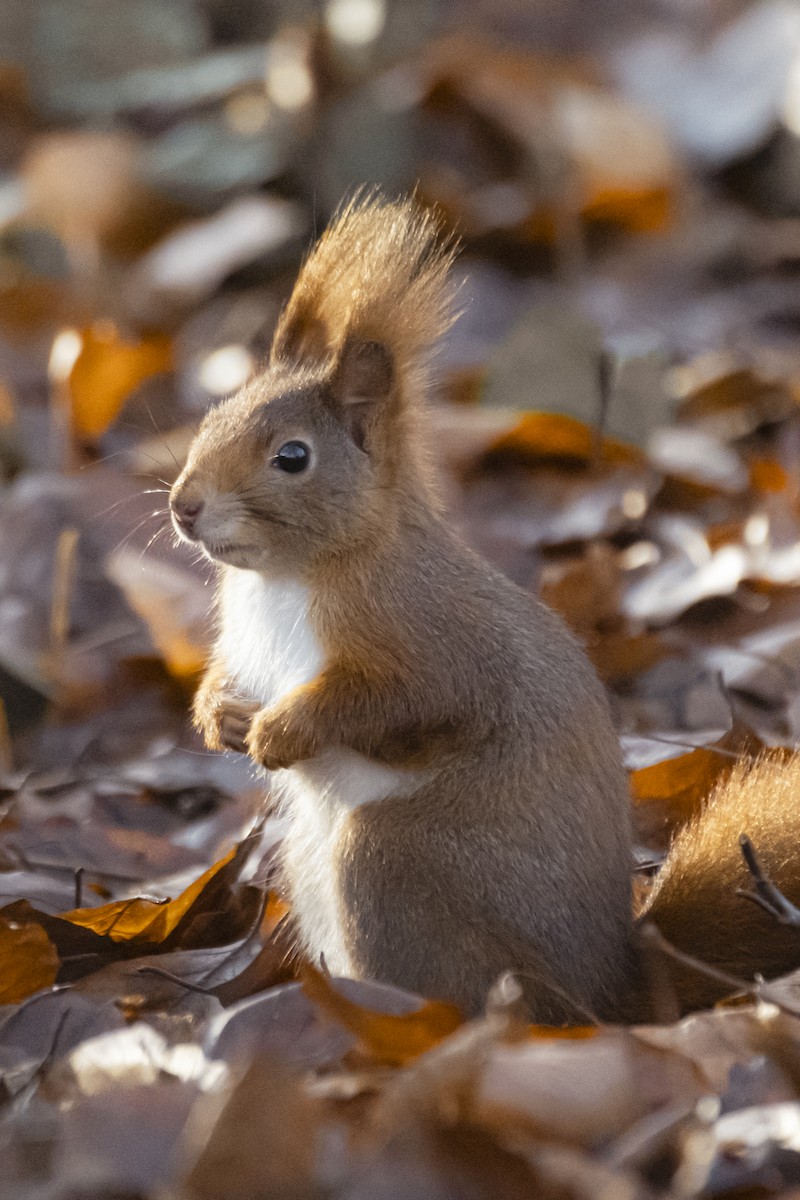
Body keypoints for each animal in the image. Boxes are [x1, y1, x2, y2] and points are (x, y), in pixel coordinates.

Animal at [169, 194, 800, 1024]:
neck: (285, 579)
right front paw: (223, 717)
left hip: (391, 861)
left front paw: (282, 730)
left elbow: (407, 701)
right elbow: (227, 683)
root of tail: (601, 995)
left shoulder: (427, 634)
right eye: (211, 419)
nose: (184, 507)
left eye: (293, 457)